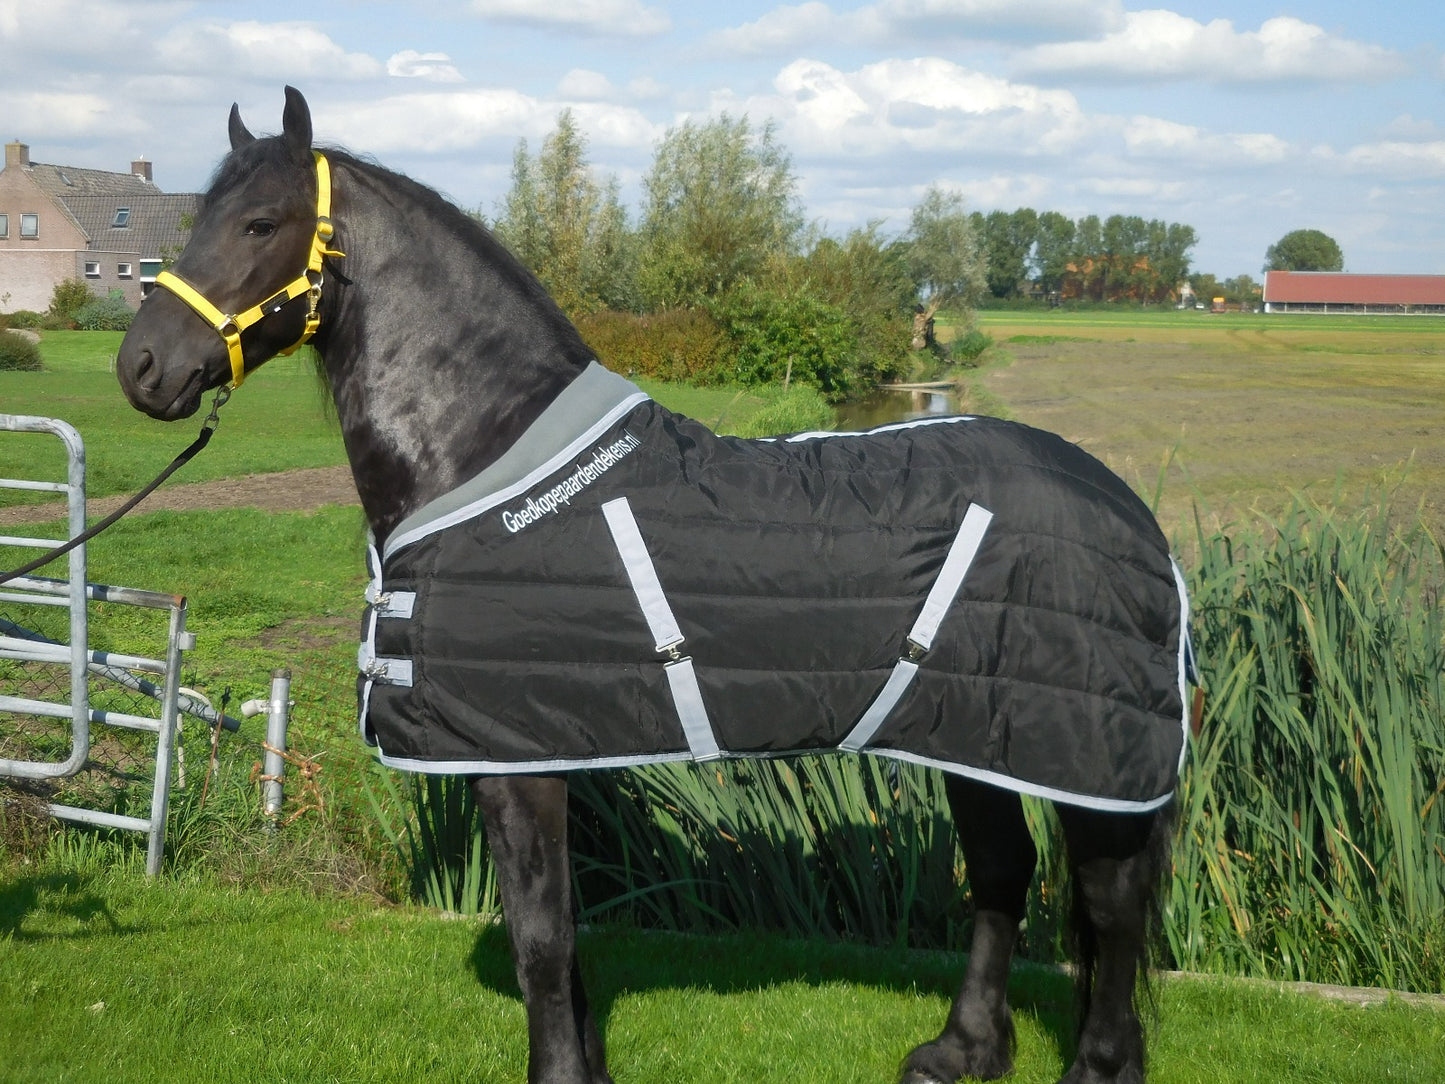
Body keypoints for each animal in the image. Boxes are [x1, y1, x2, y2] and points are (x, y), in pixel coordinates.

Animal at [116, 87, 1189, 1084]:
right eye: (196, 218)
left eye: (260, 224)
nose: (143, 367)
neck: (484, 456)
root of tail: (1125, 505)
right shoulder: (536, 749)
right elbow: (561, 941)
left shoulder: (517, 762)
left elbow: (540, 939)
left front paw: (557, 1071)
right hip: (977, 737)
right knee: (1003, 874)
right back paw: (961, 1051)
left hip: (1085, 756)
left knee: (1110, 908)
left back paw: (1097, 1065)